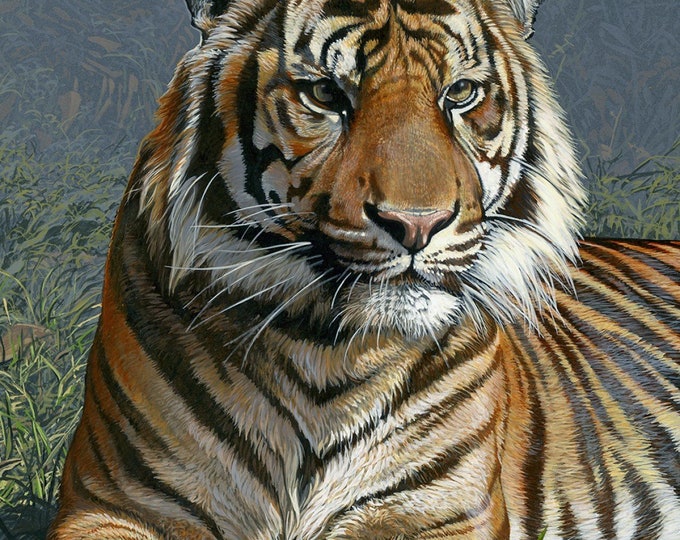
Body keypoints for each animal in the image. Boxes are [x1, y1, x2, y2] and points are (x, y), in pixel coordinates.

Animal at [49, 0, 680, 538]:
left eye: (461, 93)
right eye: (326, 94)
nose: (418, 224)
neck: (325, 358)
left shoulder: (445, 514)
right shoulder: (113, 503)